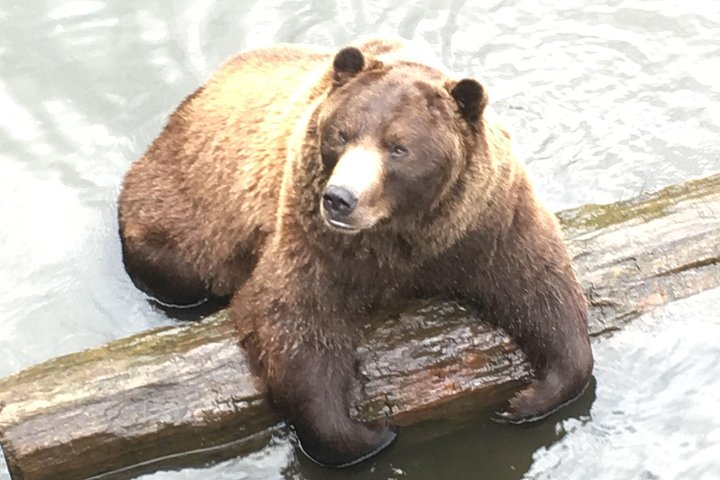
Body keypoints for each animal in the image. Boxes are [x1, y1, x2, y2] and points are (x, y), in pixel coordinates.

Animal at [118, 38, 593, 467]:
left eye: (398, 146)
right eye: (341, 134)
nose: (340, 198)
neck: (403, 234)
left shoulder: (485, 221)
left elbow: (539, 284)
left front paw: (528, 398)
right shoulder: (314, 238)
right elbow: (297, 323)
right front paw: (369, 433)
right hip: (184, 210)